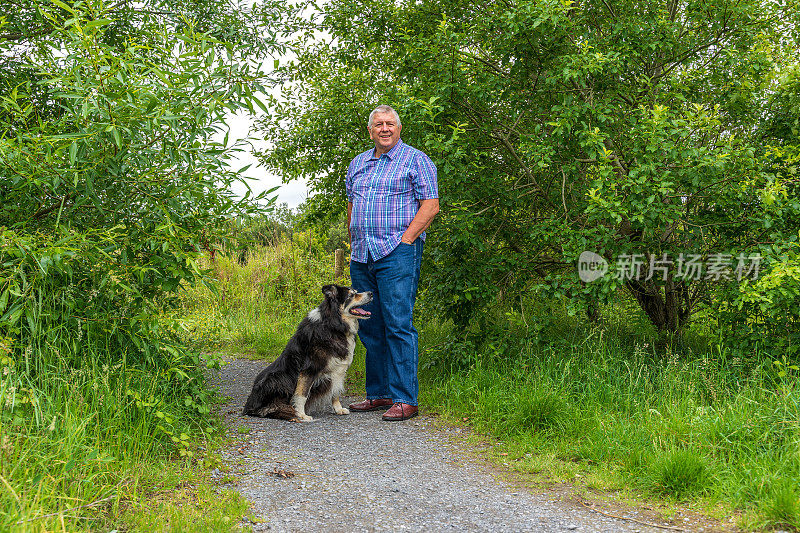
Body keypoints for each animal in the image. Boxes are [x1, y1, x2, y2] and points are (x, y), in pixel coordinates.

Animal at [241, 284, 372, 422]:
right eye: (351, 295)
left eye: (356, 292)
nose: (371, 293)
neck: (334, 325)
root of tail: (249, 406)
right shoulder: (309, 370)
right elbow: (302, 394)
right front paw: (301, 414)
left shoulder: (338, 370)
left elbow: (335, 392)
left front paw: (338, 409)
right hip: (275, 378)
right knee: (266, 409)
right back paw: (287, 413)